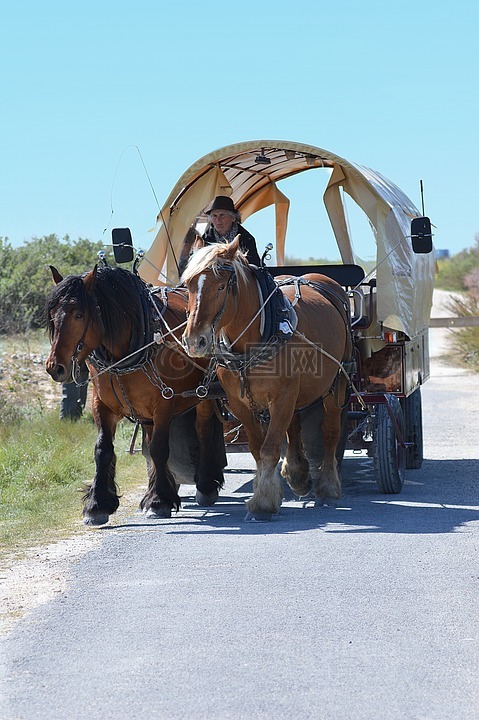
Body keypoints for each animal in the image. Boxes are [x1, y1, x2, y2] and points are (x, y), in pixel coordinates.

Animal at [45, 264, 225, 524]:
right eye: (52, 315)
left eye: (79, 315)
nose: (55, 367)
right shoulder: (102, 405)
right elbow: (103, 449)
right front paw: (97, 504)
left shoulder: (164, 404)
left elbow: (160, 448)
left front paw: (159, 502)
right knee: (149, 442)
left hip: (204, 395)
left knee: (203, 431)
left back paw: (205, 485)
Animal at [180, 239, 352, 520]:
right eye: (188, 286)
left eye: (220, 286)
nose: (195, 341)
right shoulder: (240, 404)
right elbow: (257, 448)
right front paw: (268, 491)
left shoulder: (283, 397)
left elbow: (270, 448)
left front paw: (263, 502)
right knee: (293, 427)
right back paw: (297, 474)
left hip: (337, 383)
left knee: (330, 432)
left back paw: (328, 487)